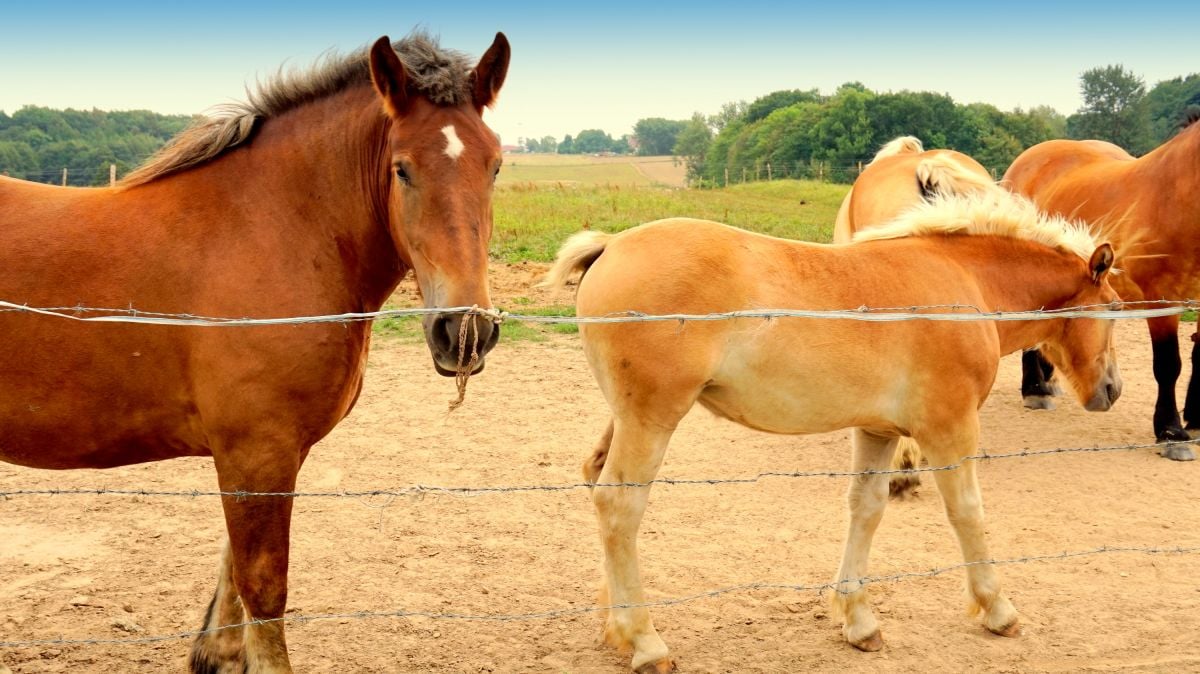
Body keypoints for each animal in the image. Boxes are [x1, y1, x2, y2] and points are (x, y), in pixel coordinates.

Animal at [0, 30, 511, 666]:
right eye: (402, 170)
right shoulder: (257, 451)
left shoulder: (261, 456)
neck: (269, 231)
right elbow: (264, 591)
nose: (465, 331)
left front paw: (215, 654)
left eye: (495, 165)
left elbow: (233, 578)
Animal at [549, 191, 1118, 666]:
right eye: (1113, 309)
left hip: (628, 418)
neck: (964, 282)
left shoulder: (878, 431)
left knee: (596, 480)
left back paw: (615, 628)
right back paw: (646, 642)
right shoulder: (949, 428)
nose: (1111, 390)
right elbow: (967, 514)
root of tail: (611, 246)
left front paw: (859, 621)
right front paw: (998, 609)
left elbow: (866, 509)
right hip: (652, 419)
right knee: (619, 504)